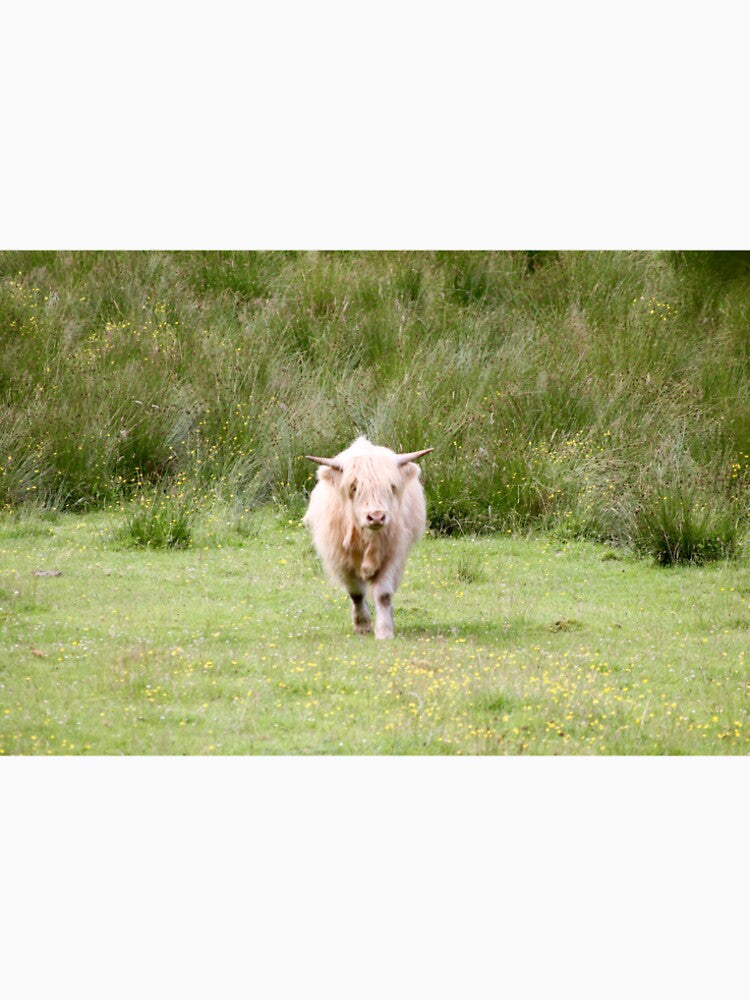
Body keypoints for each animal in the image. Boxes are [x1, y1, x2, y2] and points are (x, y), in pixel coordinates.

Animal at [303, 437, 433, 639]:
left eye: (391, 487)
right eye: (354, 487)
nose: (377, 517)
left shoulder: (392, 555)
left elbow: (383, 594)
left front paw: (385, 630)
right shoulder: (340, 560)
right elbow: (356, 593)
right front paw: (362, 625)